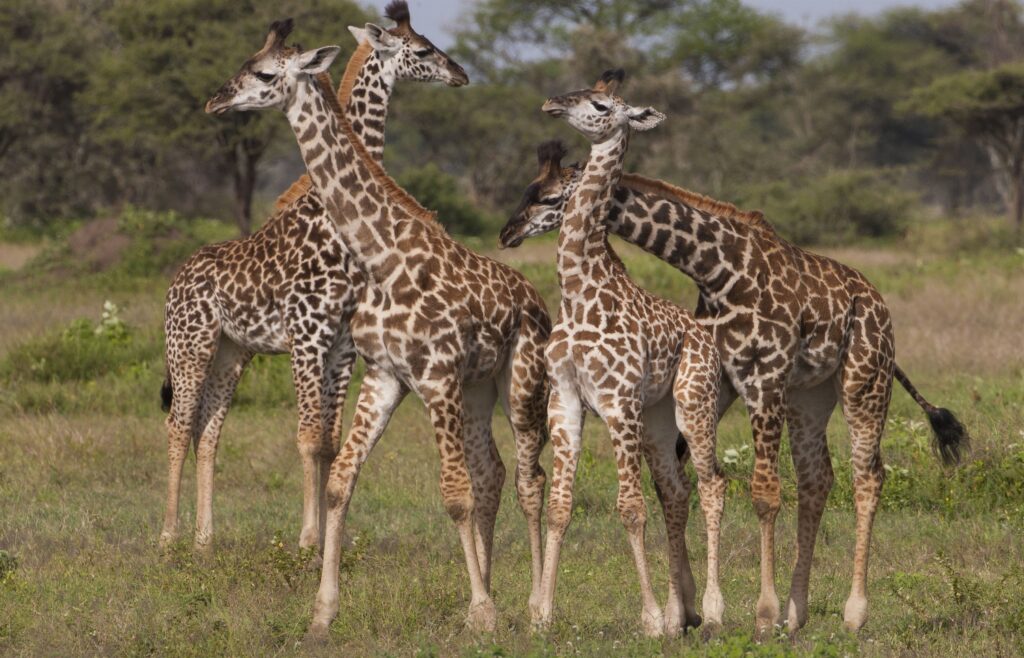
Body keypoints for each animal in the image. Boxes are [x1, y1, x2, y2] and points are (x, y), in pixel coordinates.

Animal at [158, 0, 468, 556]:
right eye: (422, 50)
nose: (460, 73)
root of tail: (175, 282)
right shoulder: (306, 335)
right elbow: (306, 437)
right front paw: (306, 541)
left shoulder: (341, 343)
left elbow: (328, 438)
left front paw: (327, 538)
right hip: (189, 345)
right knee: (178, 424)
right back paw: (169, 538)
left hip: (231, 351)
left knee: (207, 429)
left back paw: (204, 539)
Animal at [201, 18, 552, 634]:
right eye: (244, 64)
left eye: (264, 74)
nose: (217, 100)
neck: (381, 258)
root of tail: (537, 301)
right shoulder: (385, 376)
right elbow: (342, 480)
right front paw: (322, 611)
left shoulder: (433, 376)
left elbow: (453, 494)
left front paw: (482, 611)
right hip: (479, 387)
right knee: (494, 474)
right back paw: (499, 593)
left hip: (521, 382)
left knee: (531, 482)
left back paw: (536, 610)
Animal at [499, 141, 970, 634]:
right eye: (528, 189)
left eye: (548, 197)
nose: (508, 232)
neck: (715, 268)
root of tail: (879, 303)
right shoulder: (716, 380)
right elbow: (678, 483)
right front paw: (683, 609)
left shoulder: (764, 377)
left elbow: (762, 493)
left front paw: (760, 612)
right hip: (808, 397)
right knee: (817, 478)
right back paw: (797, 612)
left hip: (865, 383)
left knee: (867, 476)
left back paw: (852, 612)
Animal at [528, 70, 729, 638]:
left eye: (600, 105)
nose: (551, 102)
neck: (578, 292)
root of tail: (706, 336)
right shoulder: (565, 399)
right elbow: (561, 506)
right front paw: (541, 614)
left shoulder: (618, 403)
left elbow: (630, 508)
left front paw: (650, 619)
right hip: (659, 418)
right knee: (677, 491)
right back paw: (683, 612)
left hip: (694, 403)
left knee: (714, 484)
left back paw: (714, 610)